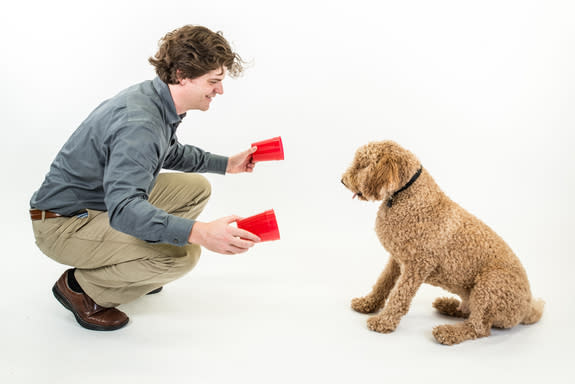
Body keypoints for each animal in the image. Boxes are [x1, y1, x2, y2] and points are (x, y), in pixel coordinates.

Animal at [342, 141, 544, 344]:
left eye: (361, 164)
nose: (342, 180)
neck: (408, 194)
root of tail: (528, 308)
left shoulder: (417, 265)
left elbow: (400, 295)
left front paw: (384, 321)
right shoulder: (396, 259)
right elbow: (382, 283)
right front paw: (368, 303)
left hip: (490, 284)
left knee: (479, 328)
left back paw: (448, 331)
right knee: (471, 313)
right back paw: (448, 305)